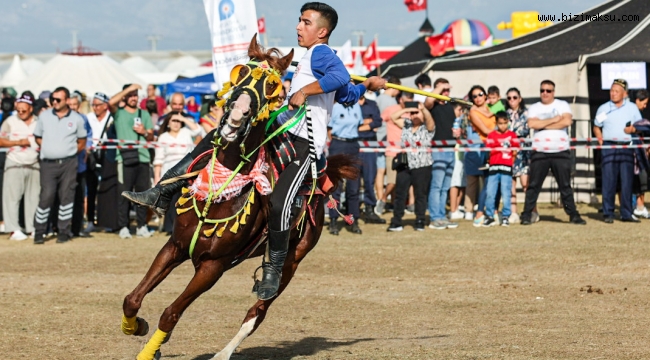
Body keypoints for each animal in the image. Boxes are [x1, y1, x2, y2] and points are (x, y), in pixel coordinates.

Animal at [119, 34, 356, 360]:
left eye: (272, 86)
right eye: (240, 73)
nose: (235, 118)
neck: (218, 195)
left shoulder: (212, 267)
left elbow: (170, 313)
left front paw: (149, 349)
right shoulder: (175, 246)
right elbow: (132, 298)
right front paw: (136, 326)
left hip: (293, 260)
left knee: (258, 310)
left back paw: (225, 352)